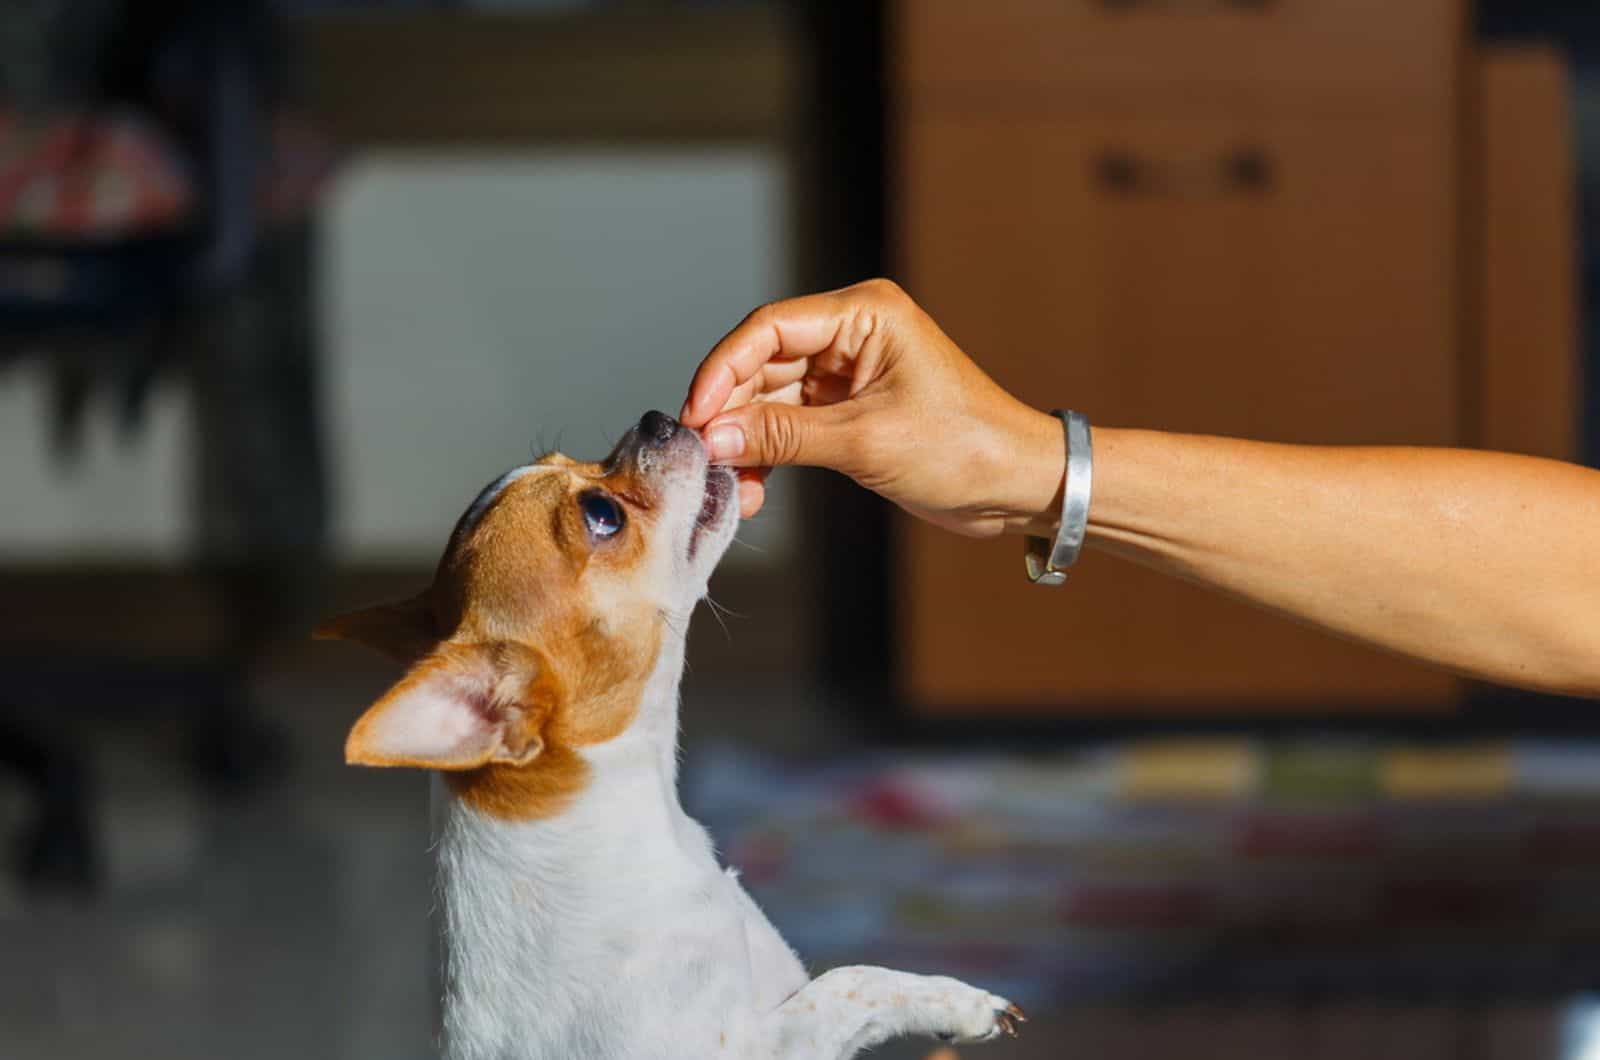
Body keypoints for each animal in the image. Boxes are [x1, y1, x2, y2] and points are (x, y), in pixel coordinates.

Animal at [318, 413, 1030, 1060]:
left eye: (571, 458)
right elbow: (850, 981)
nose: (655, 420)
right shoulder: (761, 1044)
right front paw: (959, 1003)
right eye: (601, 515)